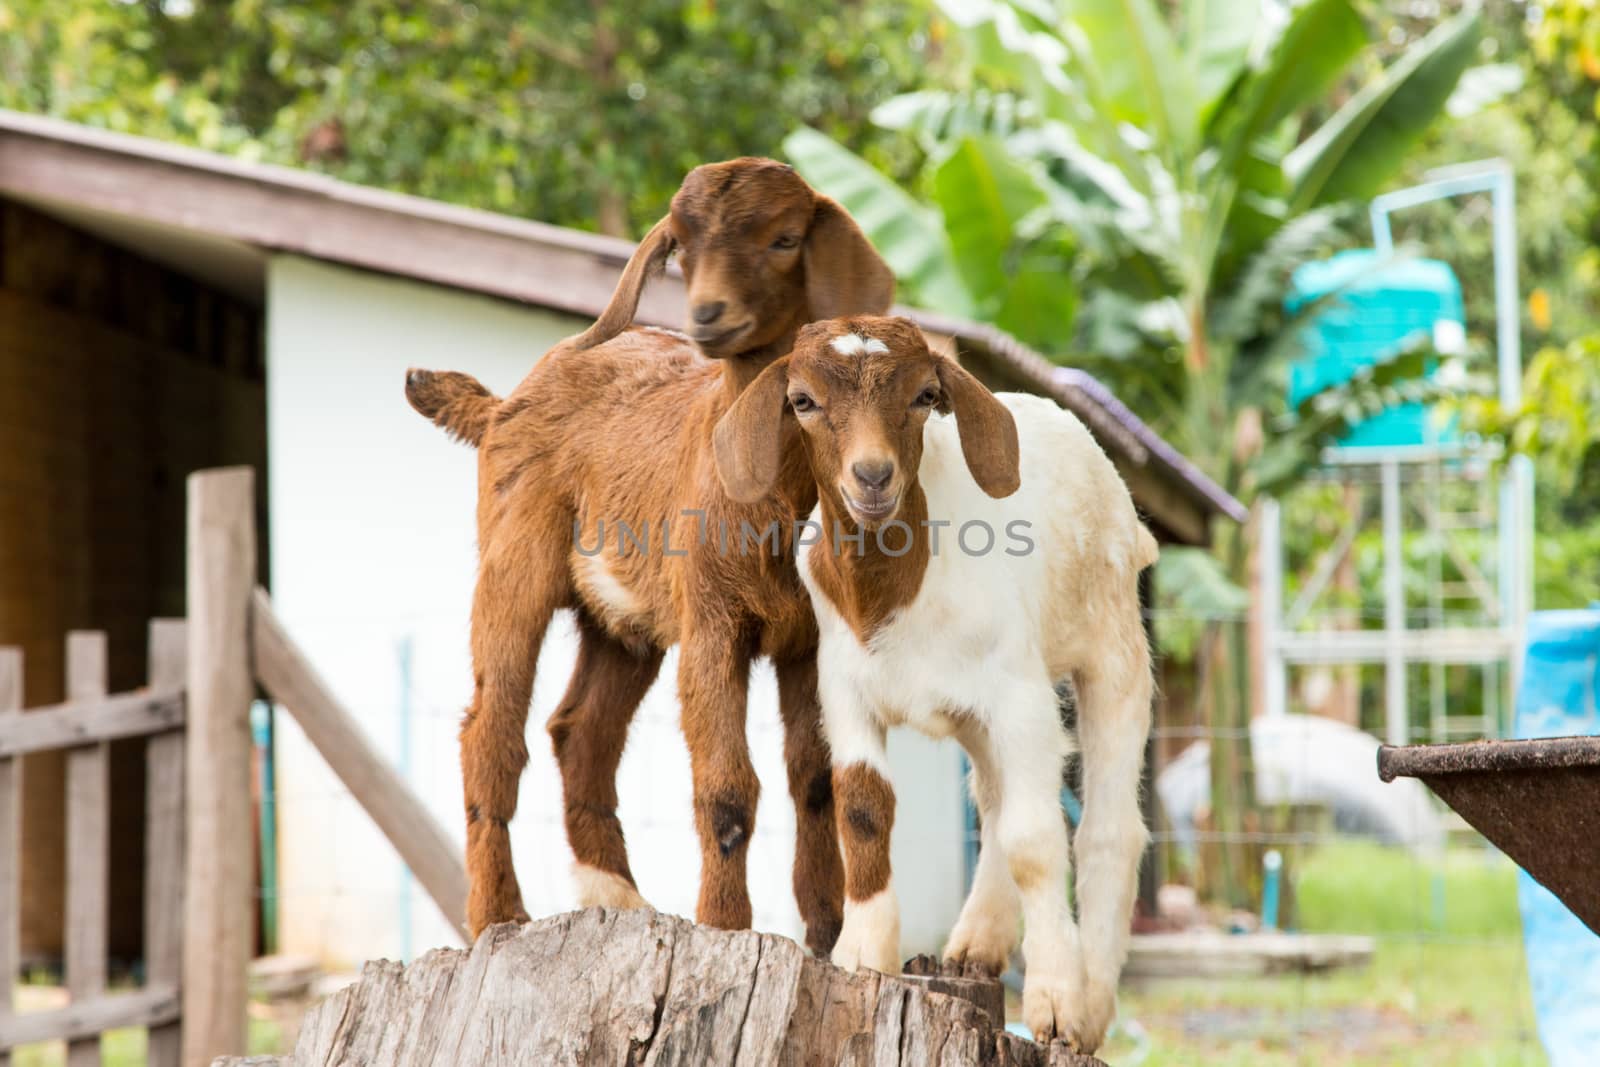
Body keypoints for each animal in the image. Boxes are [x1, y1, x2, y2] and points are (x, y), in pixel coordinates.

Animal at [406, 158, 896, 953]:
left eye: (786, 238)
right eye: (681, 247)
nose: (708, 315)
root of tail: (502, 403)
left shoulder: (811, 640)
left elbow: (815, 777)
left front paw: (824, 933)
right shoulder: (712, 619)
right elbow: (726, 786)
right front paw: (724, 925)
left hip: (621, 621)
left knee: (580, 732)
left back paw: (619, 895)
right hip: (513, 560)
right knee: (491, 728)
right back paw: (499, 915)